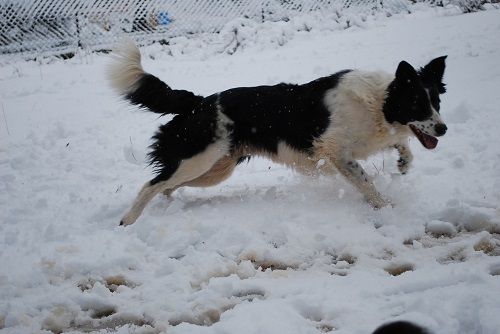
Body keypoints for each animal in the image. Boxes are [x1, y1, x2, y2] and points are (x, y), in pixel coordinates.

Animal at [107, 40, 448, 226]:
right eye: (418, 104)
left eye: (437, 102)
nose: (443, 128)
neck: (380, 103)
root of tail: (199, 102)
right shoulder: (337, 152)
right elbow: (366, 181)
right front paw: (386, 207)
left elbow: (402, 145)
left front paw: (403, 164)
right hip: (199, 159)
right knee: (151, 184)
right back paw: (128, 220)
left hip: (214, 169)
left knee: (167, 184)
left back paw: (167, 205)